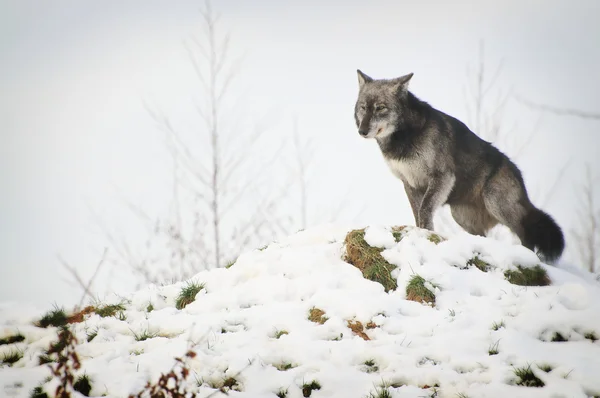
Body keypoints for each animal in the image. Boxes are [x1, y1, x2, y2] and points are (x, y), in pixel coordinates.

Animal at [354, 70, 564, 262]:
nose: (362, 131)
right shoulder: (409, 183)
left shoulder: (442, 177)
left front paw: (426, 235)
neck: (406, 137)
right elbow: (417, 212)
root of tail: (521, 179)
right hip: (461, 216)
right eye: (363, 107)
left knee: (525, 235)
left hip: (494, 200)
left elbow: (424, 210)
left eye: (380, 108)